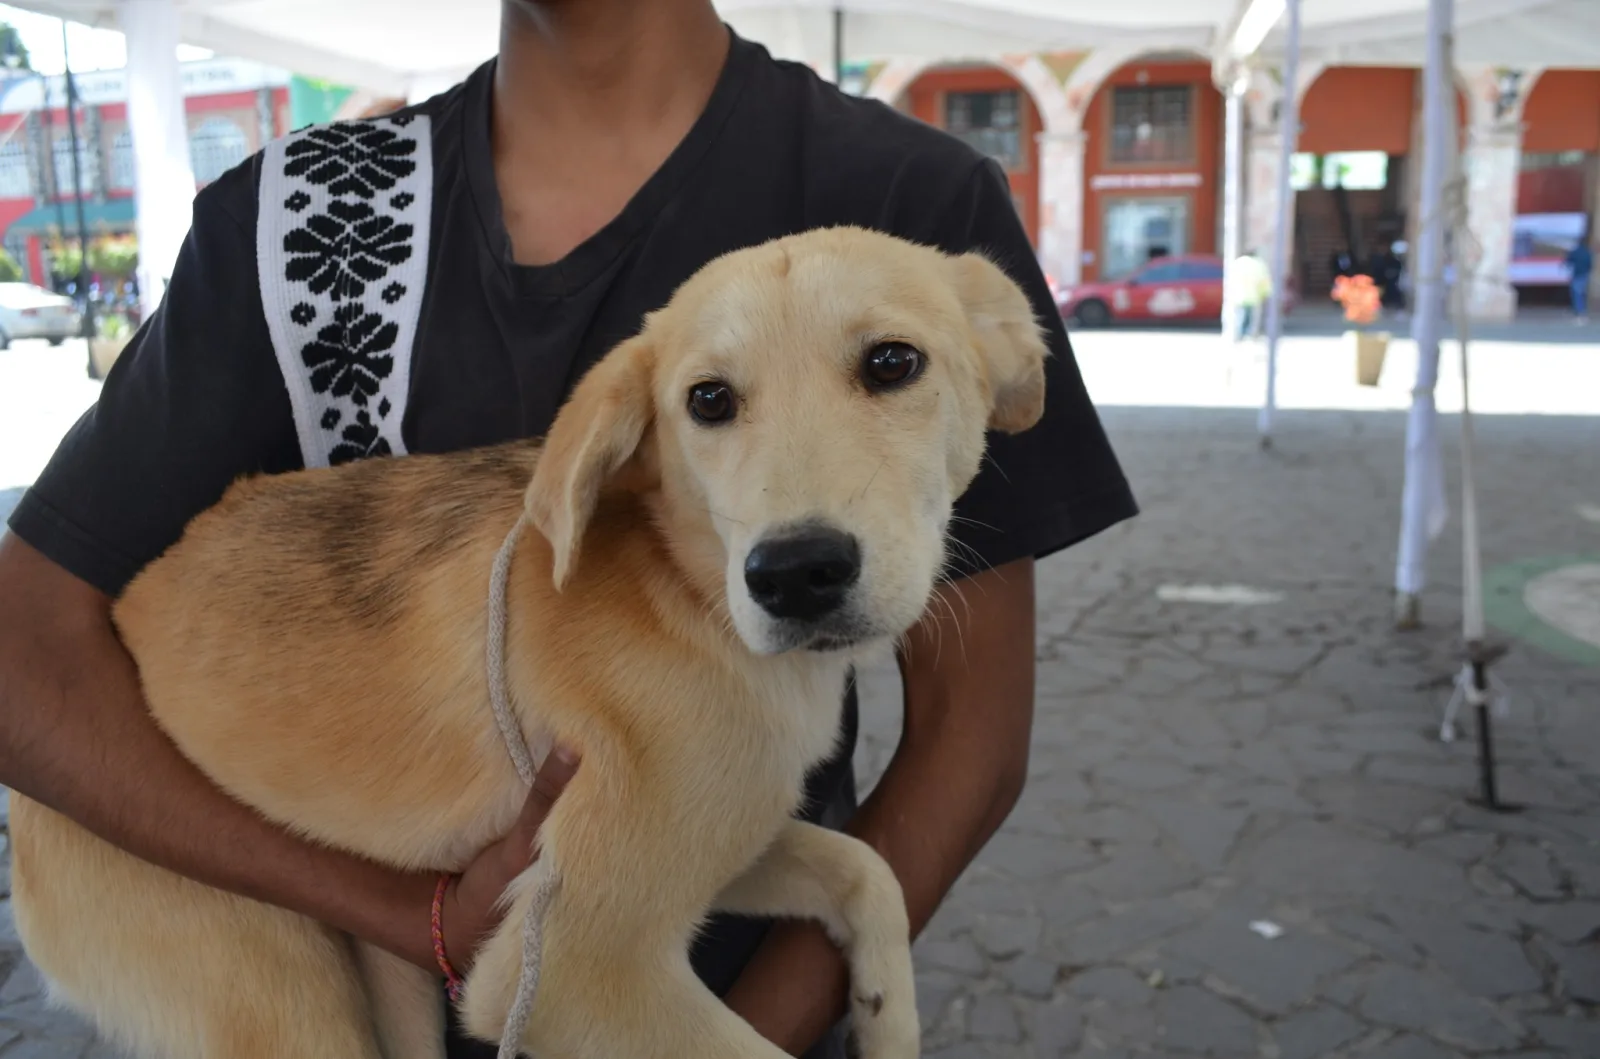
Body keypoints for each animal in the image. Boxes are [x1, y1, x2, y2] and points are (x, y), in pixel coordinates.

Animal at [9, 225, 1049, 1059]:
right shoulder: (564, 970)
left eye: (892, 363)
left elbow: (867, 869)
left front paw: (885, 1015)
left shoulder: (722, 837)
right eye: (708, 401)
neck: (688, 594)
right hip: (268, 981)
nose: (795, 573)